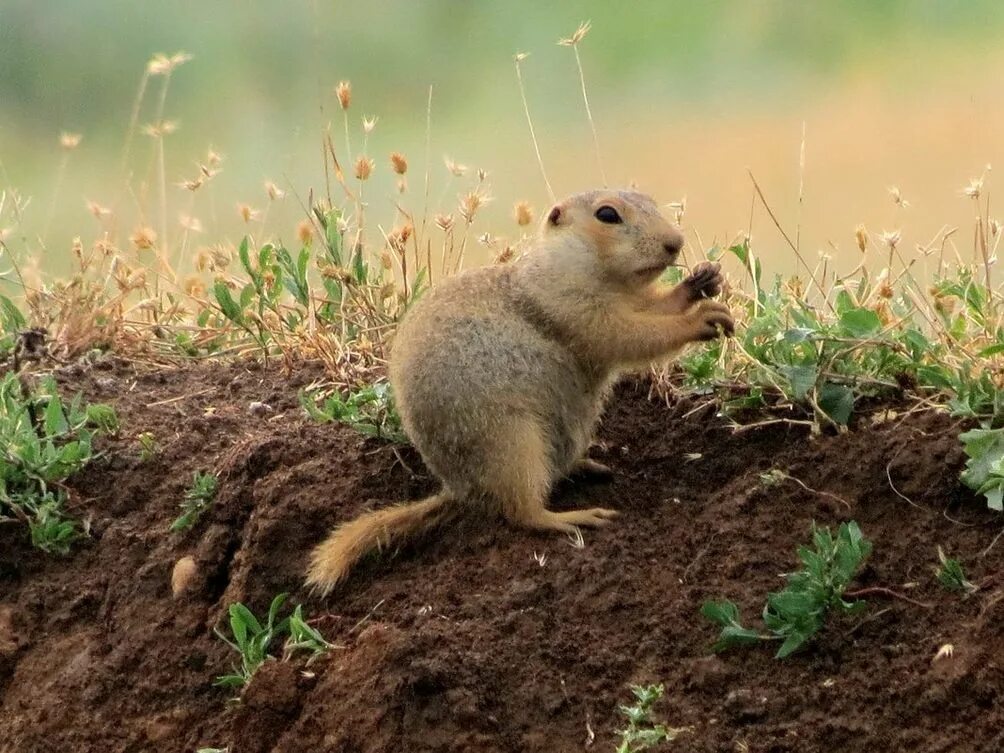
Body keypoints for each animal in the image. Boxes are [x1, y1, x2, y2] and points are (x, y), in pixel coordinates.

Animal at [301, 188, 734, 594]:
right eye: (607, 214)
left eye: (649, 200)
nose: (675, 242)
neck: (585, 269)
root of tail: (461, 490)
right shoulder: (571, 304)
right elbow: (630, 334)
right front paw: (700, 319)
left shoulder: (629, 297)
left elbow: (652, 308)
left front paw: (701, 281)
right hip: (512, 442)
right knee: (522, 512)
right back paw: (576, 517)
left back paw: (588, 467)